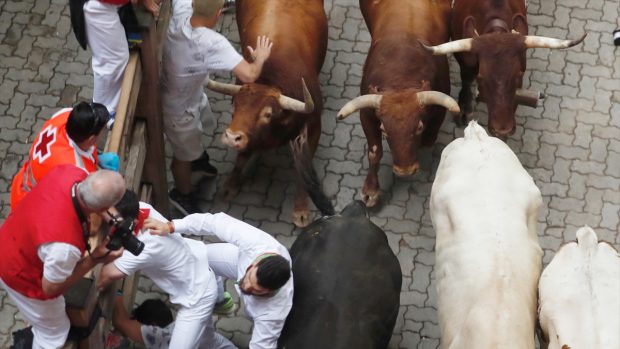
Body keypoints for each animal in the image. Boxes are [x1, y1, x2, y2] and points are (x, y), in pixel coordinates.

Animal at [206, 0, 326, 227]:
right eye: (234, 106)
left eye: (268, 114)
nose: (231, 137)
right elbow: (242, 157)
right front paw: (231, 185)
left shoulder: (314, 128)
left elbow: (303, 171)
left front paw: (300, 209)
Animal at [336, 0, 458, 207]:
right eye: (384, 130)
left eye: (419, 127)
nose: (405, 170)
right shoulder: (367, 115)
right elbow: (374, 152)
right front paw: (371, 190)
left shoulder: (439, 112)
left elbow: (428, 139)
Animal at [422, 0, 588, 138]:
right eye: (481, 77)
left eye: (519, 74)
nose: (502, 130)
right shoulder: (465, 61)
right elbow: (467, 79)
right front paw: (465, 109)